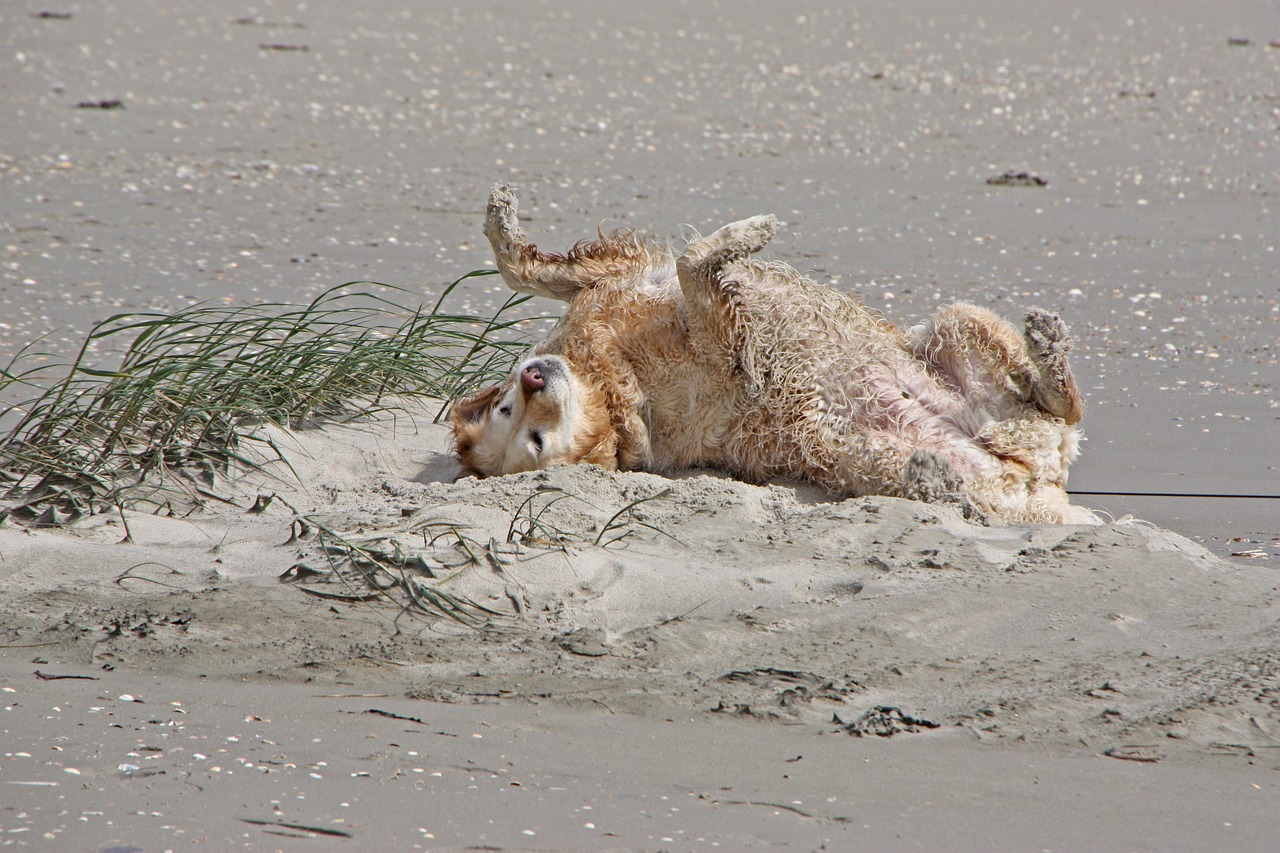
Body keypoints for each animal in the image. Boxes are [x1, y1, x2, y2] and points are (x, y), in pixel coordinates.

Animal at [450, 183, 1090, 522]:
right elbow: (693, 262)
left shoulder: (608, 279)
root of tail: (1042, 475)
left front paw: (500, 218)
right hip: (872, 456)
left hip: (955, 322)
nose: (532, 378)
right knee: (993, 470)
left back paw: (1047, 345)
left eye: (505, 409)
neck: (606, 376)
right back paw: (937, 467)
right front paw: (749, 233)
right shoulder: (725, 349)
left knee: (1061, 404)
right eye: (532, 441)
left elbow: (522, 268)